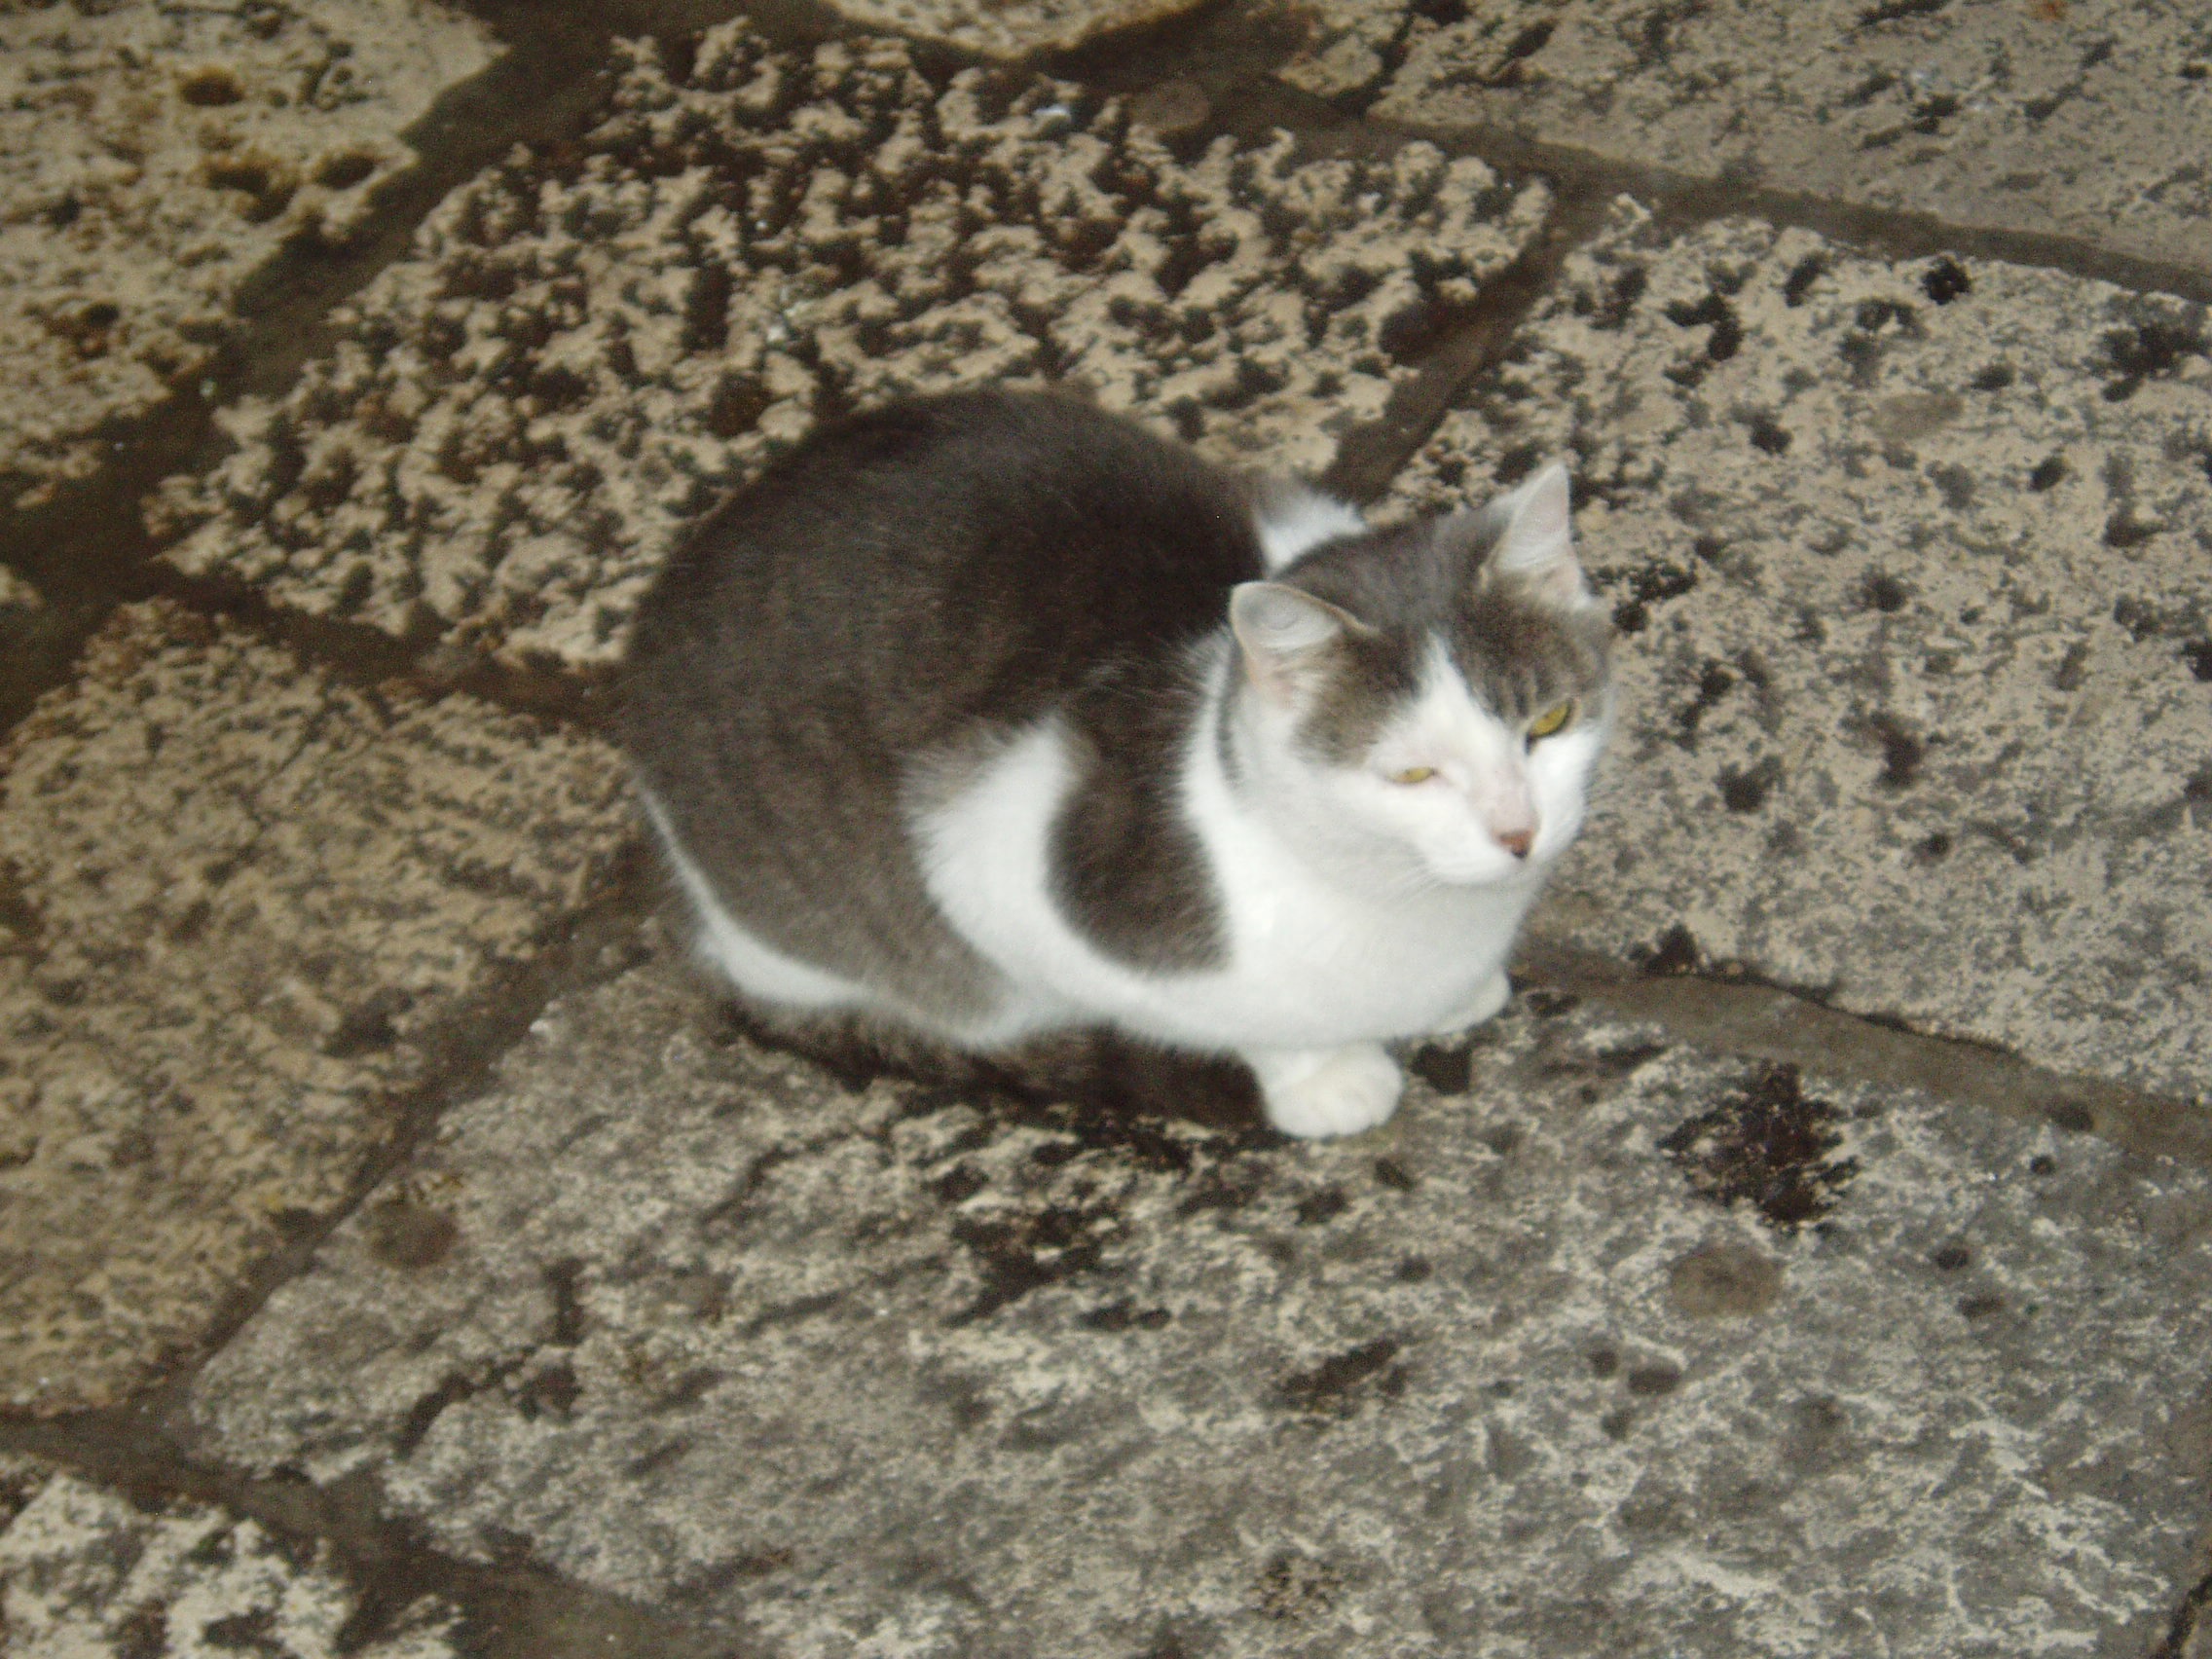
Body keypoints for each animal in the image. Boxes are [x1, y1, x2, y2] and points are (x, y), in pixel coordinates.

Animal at [622, 390, 1613, 1138]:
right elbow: (1241, 1019)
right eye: (1411, 775)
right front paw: (1323, 1078)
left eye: (1549, 720)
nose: (1519, 832)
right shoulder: (998, 864)